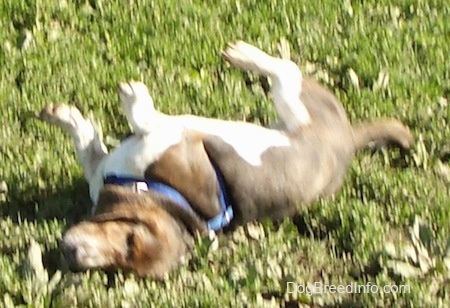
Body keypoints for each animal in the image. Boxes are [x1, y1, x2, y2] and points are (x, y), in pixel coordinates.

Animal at [37, 39, 414, 278]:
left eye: (129, 247)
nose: (73, 257)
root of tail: (350, 139)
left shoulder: (174, 143)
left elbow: (145, 123)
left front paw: (135, 100)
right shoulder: (103, 166)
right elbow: (89, 144)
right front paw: (67, 117)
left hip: (297, 104)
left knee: (286, 70)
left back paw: (243, 54)